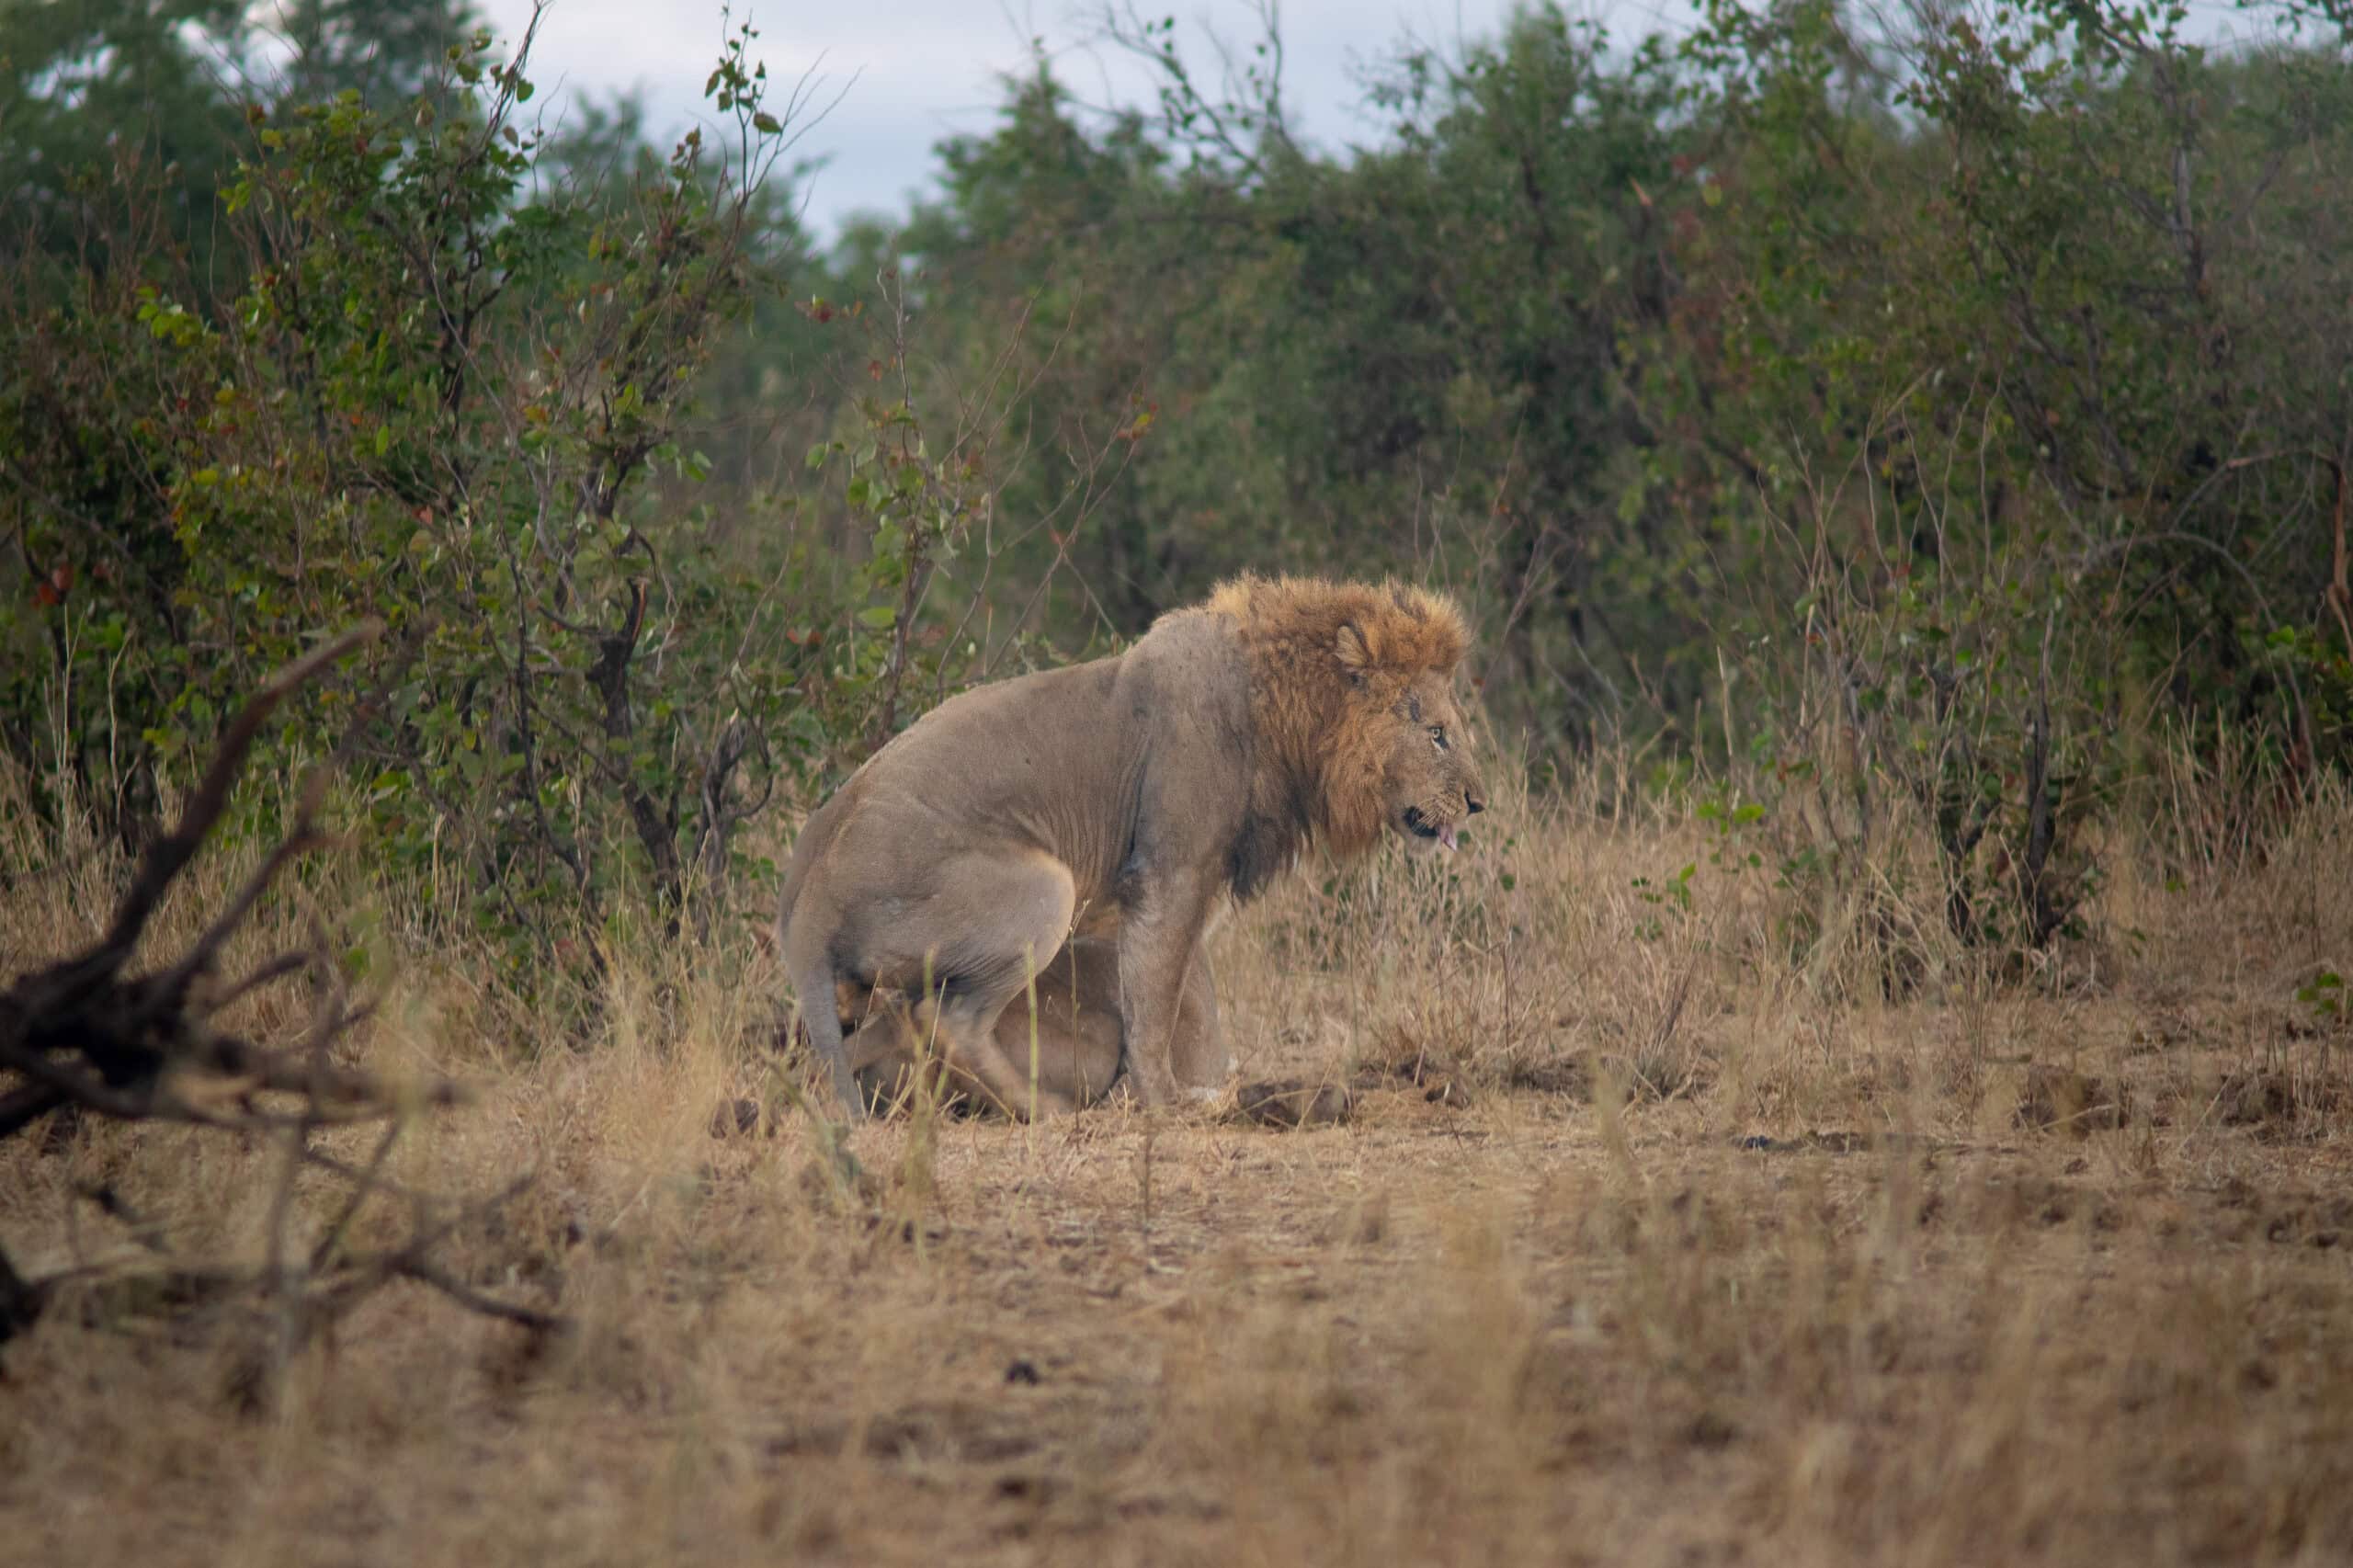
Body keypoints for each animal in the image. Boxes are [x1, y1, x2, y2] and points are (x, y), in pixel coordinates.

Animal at [776, 573, 1486, 1119]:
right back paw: (1047, 1110)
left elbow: (1167, 990)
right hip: (1045, 888)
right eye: (1437, 734)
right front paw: (1166, 1103)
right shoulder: (1172, 873)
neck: (1284, 717)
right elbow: (1155, 995)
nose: (1479, 802)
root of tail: (808, 901)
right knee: (950, 1021)